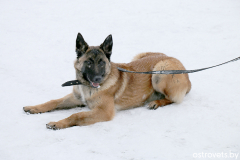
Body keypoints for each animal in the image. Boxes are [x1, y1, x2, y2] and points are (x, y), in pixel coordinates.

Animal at [22, 33, 191, 129]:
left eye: (102, 63)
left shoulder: (104, 111)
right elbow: (53, 102)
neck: (86, 86)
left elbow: (76, 116)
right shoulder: (76, 98)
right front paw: (34, 108)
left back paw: (156, 102)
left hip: (160, 71)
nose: (97, 78)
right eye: (89, 62)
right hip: (141, 57)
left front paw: (58, 123)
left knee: (173, 98)